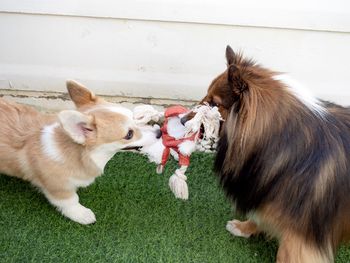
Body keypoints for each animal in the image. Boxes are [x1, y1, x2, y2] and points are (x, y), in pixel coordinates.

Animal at [0, 80, 156, 225]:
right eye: (129, 135)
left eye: (134, 117)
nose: (159, 132)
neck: (77, 153)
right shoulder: (58, 187)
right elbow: (71, 200)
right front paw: (82, 214)